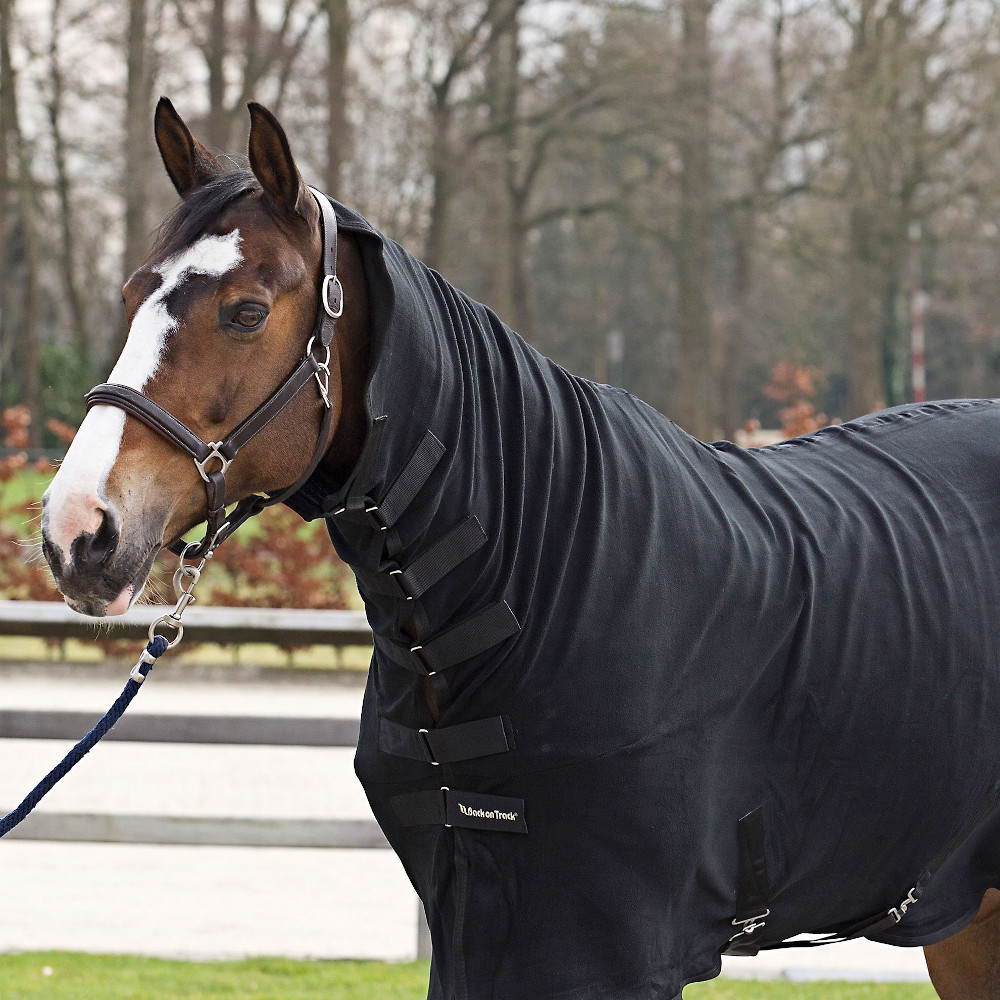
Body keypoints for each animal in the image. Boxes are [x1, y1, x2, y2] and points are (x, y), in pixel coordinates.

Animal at [39, 98, 1000, 1000]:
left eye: (245, 311)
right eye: (131, 296)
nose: (77, 531)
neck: (536, 567)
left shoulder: (605, 951)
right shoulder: (478, 926)